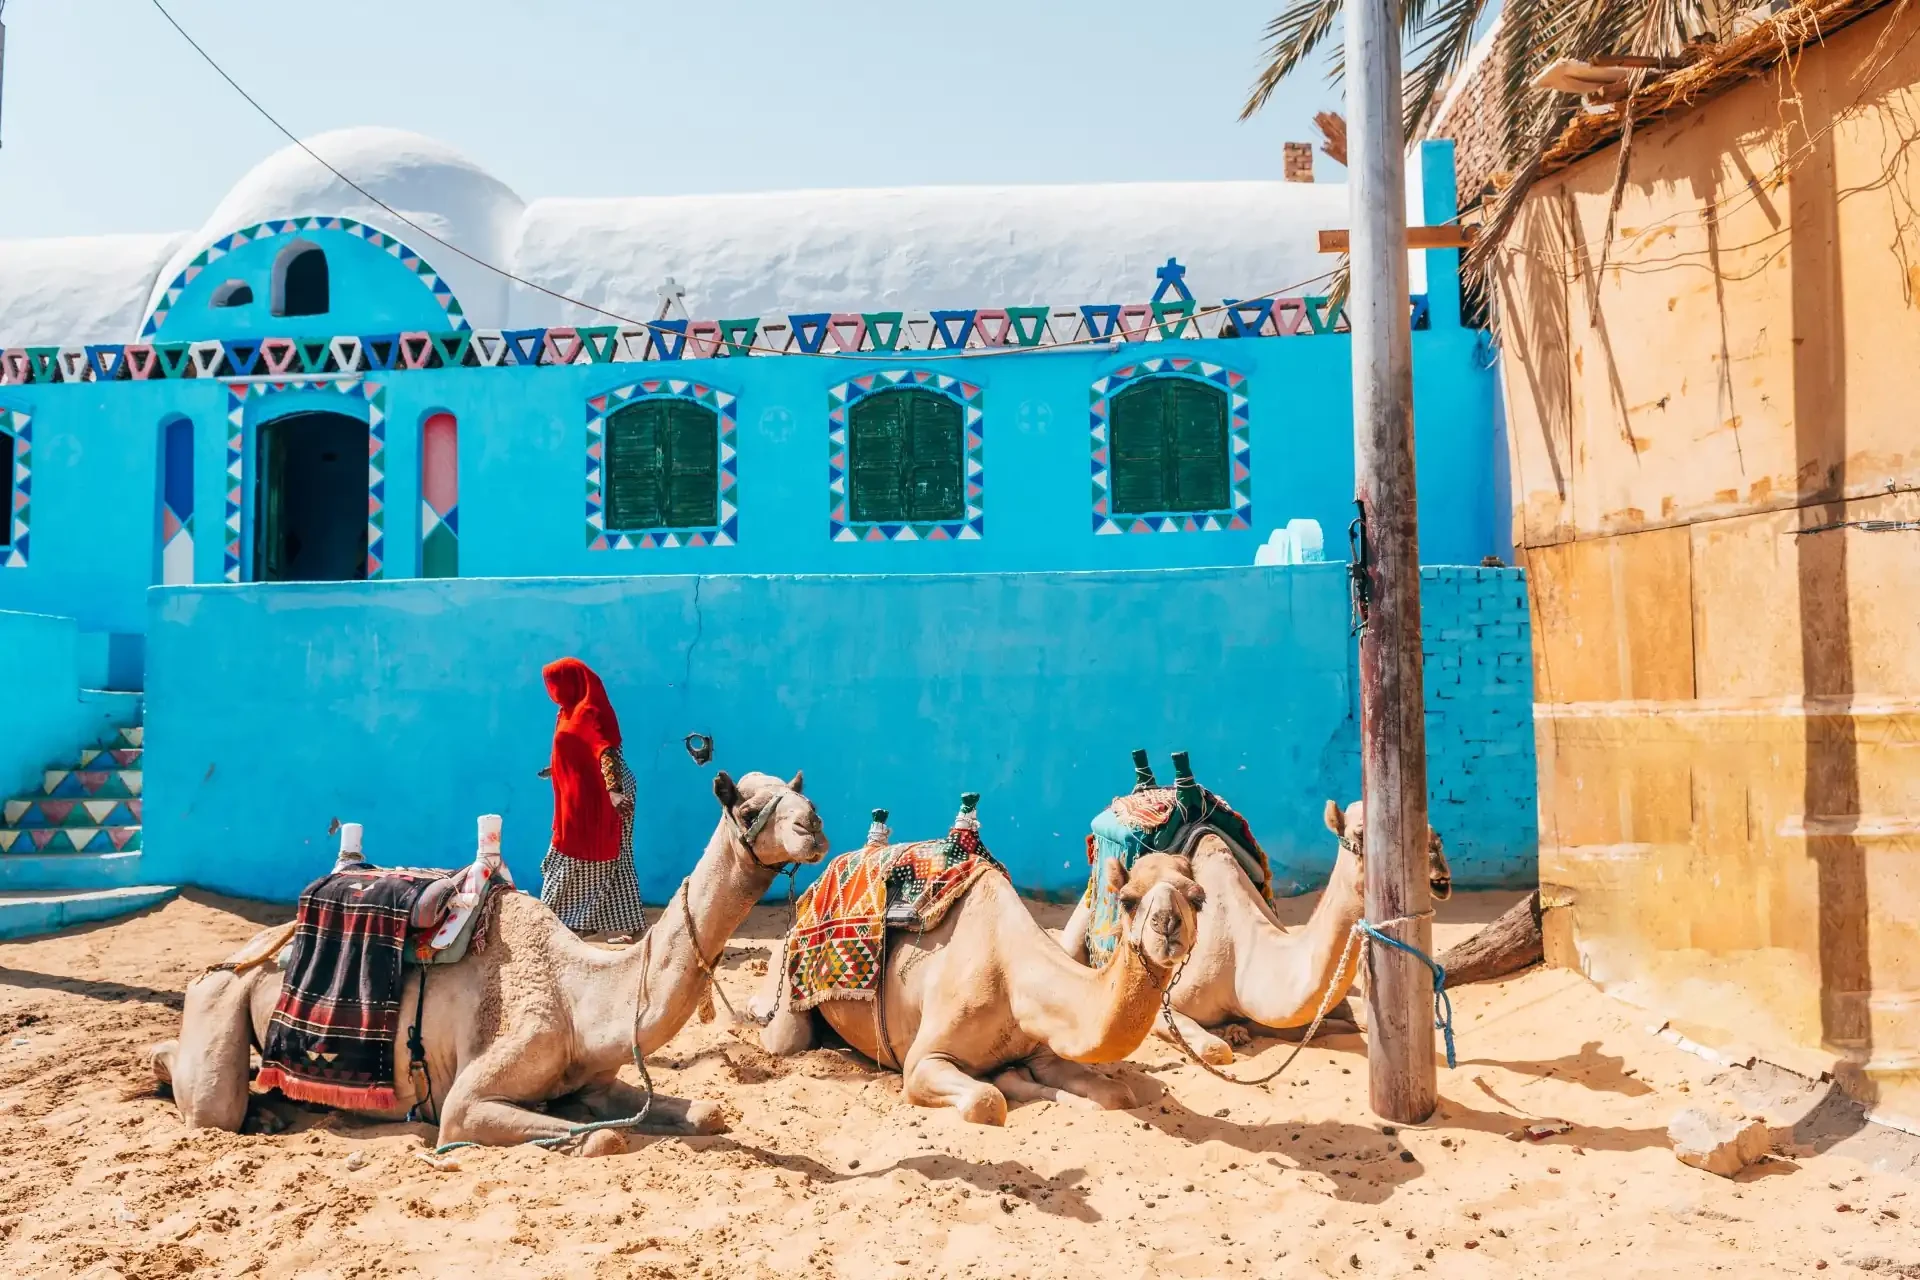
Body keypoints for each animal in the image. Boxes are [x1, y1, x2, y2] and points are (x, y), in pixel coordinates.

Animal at [150, 770, 828, 1155]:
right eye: (748, 810)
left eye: (801, 794)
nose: (814, 825)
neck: (580, 996)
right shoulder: (464, 1103)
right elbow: (601, 1138)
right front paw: (580, 1132)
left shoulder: (598, 1077)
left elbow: (707, 1110)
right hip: (221, 997)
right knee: (210, 1104)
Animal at [751, 843, 1205, 1126]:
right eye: (1128, 900)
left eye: (1198, 898)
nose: (1167, 925)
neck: (1012, 976)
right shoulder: (922, 1062)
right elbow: (987, 1102)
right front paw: (1004, 1085)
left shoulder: (1044, 1050)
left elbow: (1117, 1095)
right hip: (788, 979)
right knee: (784, 1036)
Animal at [1060, 797, 1452, 1066]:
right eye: (1361, 832)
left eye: (1432, 827)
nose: (1438, 868)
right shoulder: (1163, 1003)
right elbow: (1215, 1049)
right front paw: (1230, 1033)